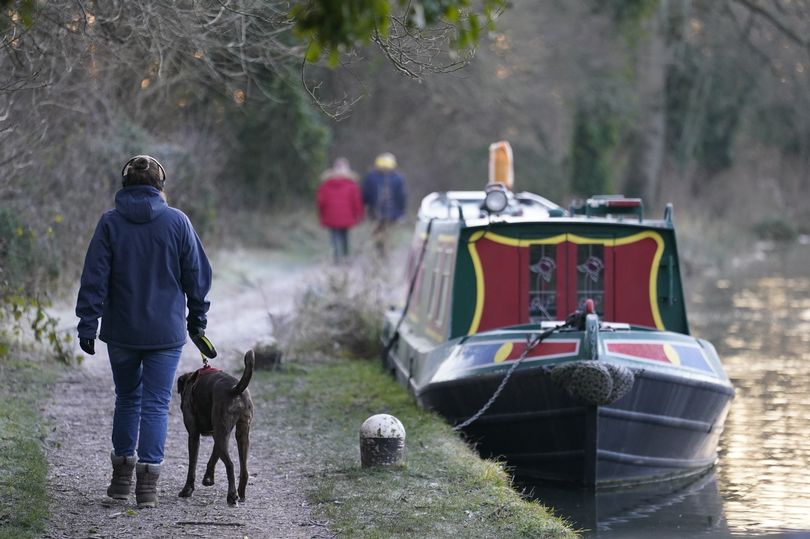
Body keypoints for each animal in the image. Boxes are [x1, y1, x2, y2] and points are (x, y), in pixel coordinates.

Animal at [178, 350, 254, 506]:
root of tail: (235, 389)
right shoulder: (217, 434)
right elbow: (214, 455)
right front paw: (208, 478)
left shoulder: (194, 435)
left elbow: (192, 466)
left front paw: (187, 489)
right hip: (240, 434)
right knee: (244, 470)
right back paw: (241, 494)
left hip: (222, 434)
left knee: (230, 465)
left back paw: (232, 496)